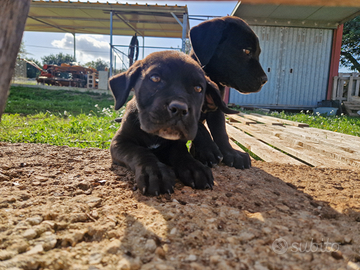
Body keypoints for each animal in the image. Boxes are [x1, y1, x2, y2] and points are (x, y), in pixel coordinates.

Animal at [108, 50, 238, 195]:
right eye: (155, 78)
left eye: (198, 88)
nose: (180, 109)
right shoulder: (119, 142)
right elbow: (139, 151)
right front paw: (155, 173)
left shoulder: (177, 143)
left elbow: (180, 153)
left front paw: (194, 167)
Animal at [190, 15, 268, 169]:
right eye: (246, 51)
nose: (265, 80)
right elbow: (200, 128)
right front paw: (209, 150)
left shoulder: (217, 108)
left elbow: (221, 132)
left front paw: (231, 153)